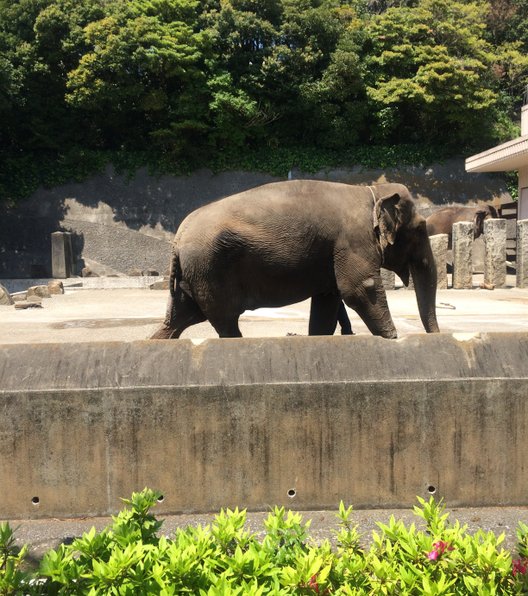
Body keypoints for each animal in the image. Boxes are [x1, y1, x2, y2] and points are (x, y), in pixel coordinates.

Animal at [151, 178, 440, 340]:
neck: (372, 190)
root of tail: (177, 239)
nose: (436, 337)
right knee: (223, 321)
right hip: (208, 268)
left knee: (181, 317)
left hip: (194, 275)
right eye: (420, 229)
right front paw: (392, 338)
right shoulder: (354, 240)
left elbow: (327, 301)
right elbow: (359, 289)